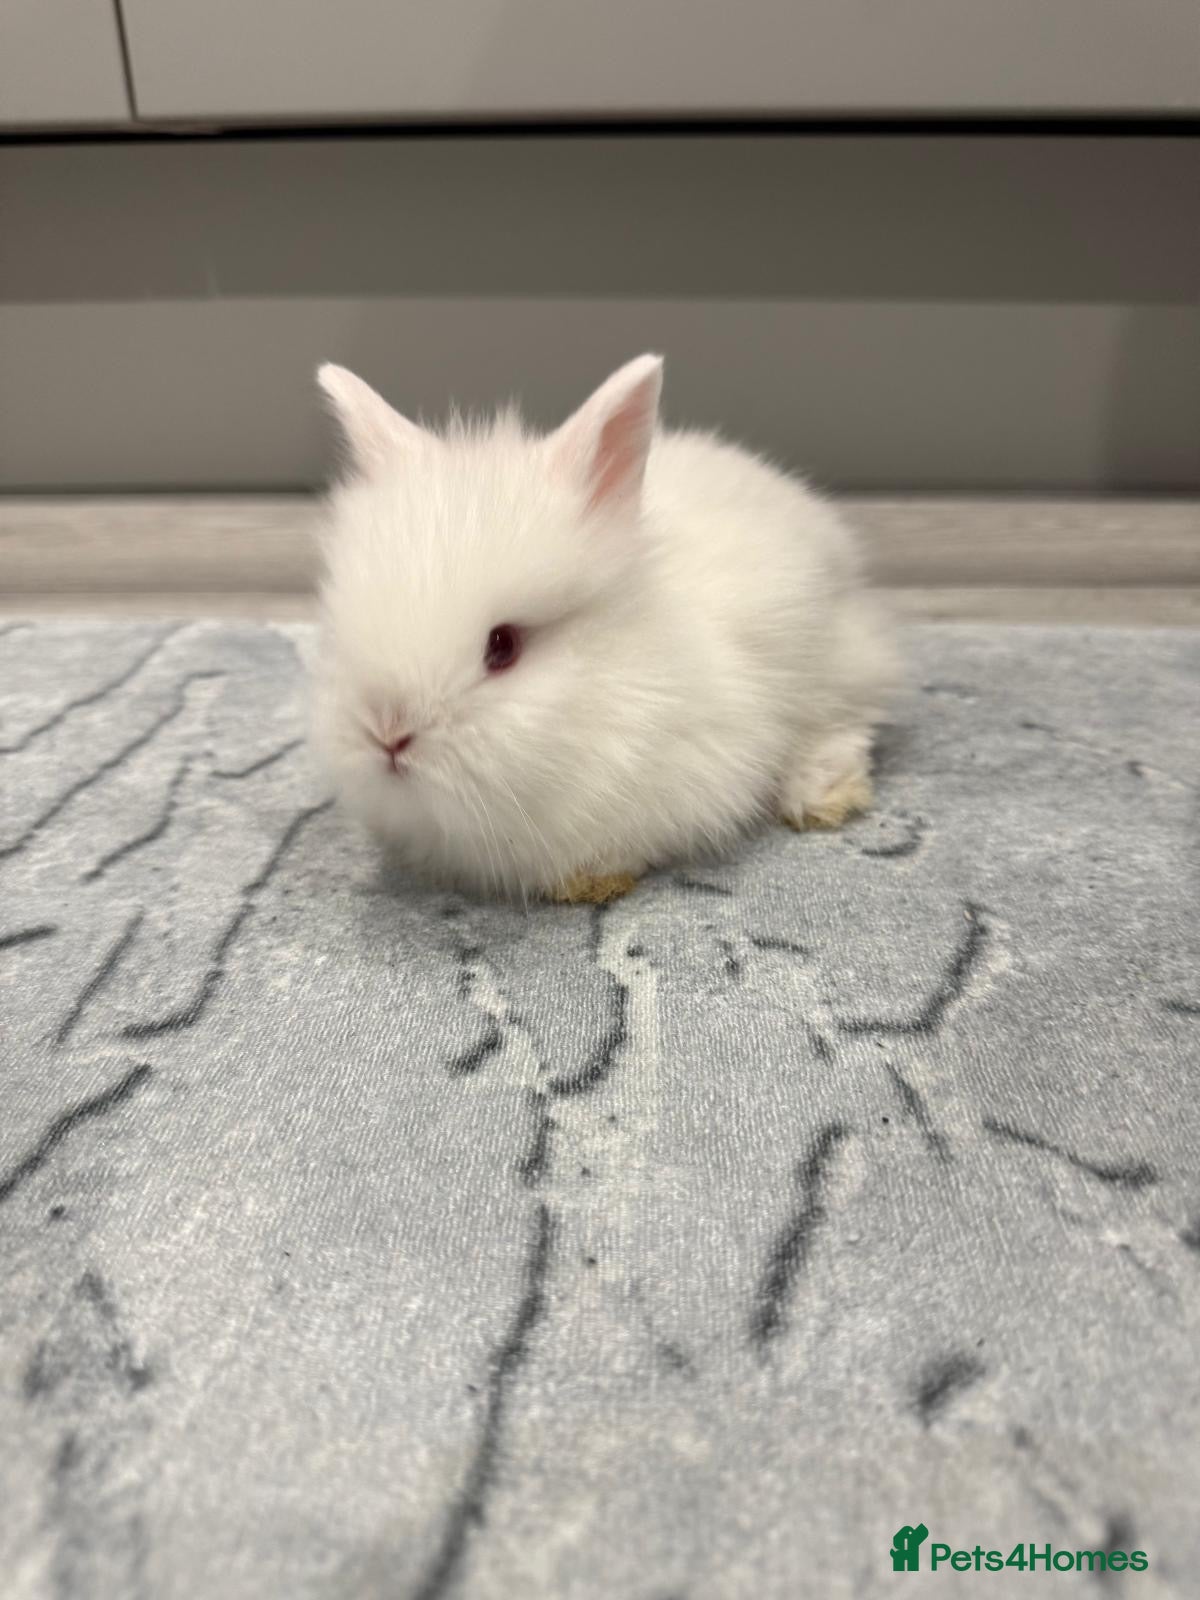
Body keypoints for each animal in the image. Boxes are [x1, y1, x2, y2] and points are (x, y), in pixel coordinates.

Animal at [311, 354, 899, 903]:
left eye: (503, 646)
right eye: (344, 628)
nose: (388, 735)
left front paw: (593, 881)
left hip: (836, 671)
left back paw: (823, 796)